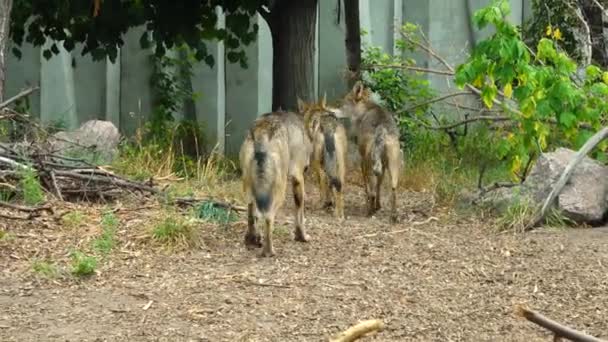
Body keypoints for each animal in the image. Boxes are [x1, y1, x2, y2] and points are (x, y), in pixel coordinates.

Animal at [239, 110, 314, 256]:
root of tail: (262, 130)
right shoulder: (298, 178)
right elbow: (300, 214)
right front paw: (302, 237)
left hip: (249, 188)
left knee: (251, 212)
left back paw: (252, 239)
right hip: (279, 193)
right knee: (268, 217)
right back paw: (269, 251)